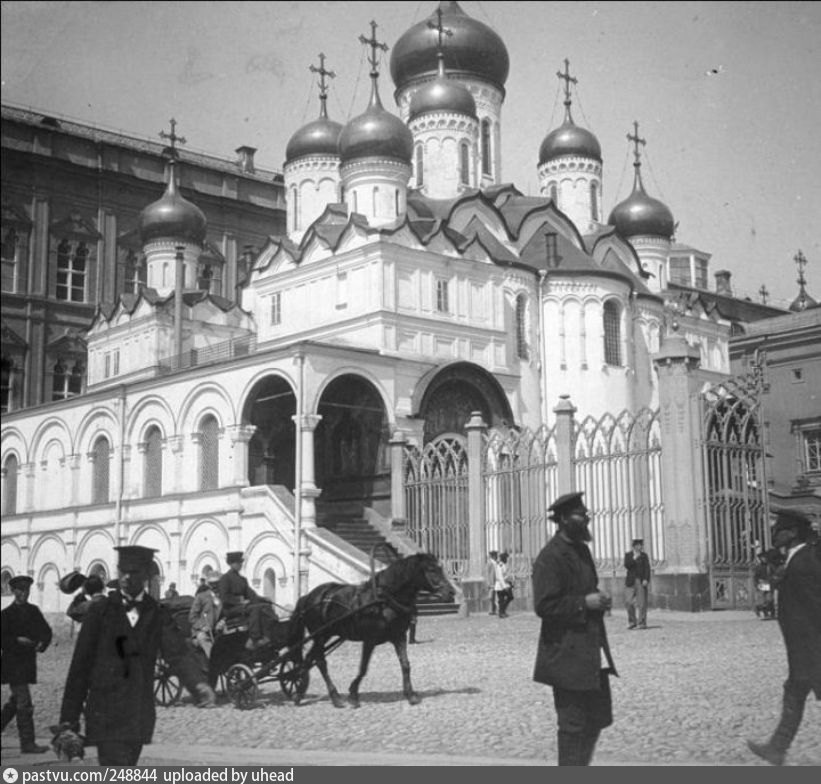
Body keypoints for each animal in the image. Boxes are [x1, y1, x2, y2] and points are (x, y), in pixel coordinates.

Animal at [286, 552, 454, 712]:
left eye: (440, 568)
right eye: (431, 569)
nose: (451, 592)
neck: (385, 600)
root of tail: (308, 596)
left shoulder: (399, 636)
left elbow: (405, 665)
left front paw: (411, 695)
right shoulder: (369, 640)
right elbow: (363, 668)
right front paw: (353, 695)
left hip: (323, 636)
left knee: (309, 658)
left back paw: (299, 693)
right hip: (320, 636)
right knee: (320, 662)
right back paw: (335, 697)